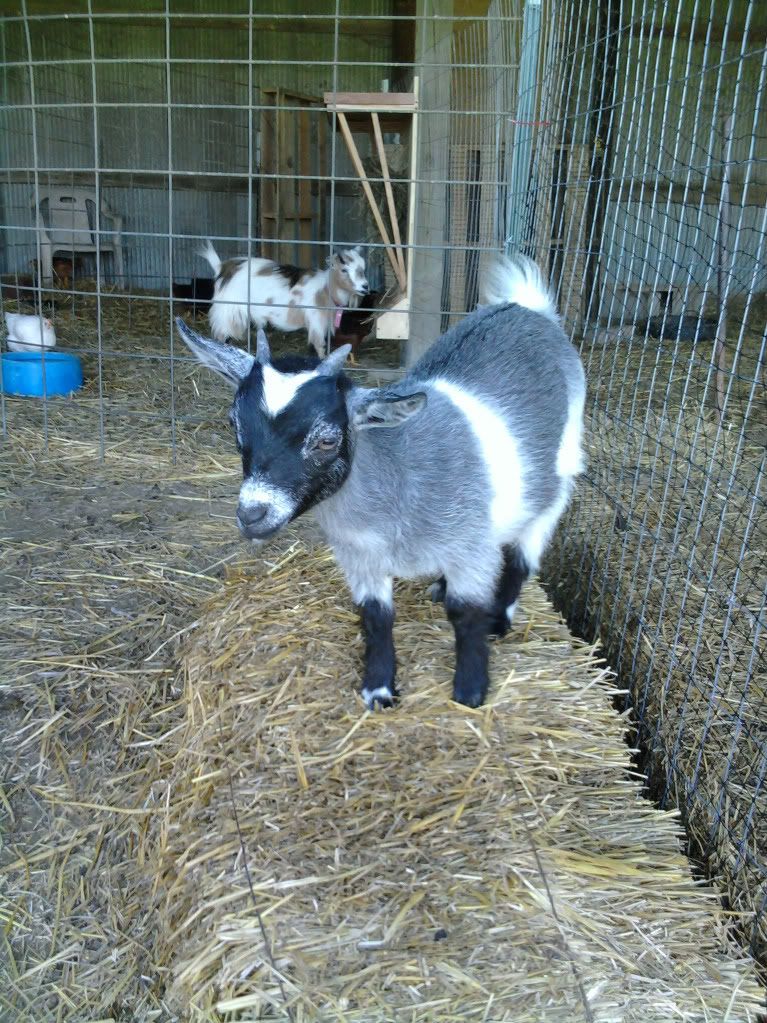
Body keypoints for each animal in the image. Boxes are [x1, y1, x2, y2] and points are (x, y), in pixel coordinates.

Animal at [176, 256, 586, 710]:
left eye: (327, 439)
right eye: (234, 424)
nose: (252, 514)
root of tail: (526, 308)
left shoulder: (468, 546)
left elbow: (465, 613)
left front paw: (470, 690)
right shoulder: (360, 556)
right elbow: (375, 614)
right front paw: (379, 688)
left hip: (560, 475)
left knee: (524, 553)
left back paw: (501, 616)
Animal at [199, 241, 368, 358]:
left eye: (364, 268)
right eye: (344, 270)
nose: (365, 286)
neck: (325, 289)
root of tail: (221, 268)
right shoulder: (316, 321)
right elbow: (319, 345)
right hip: (228, 308)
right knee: (221, 333)